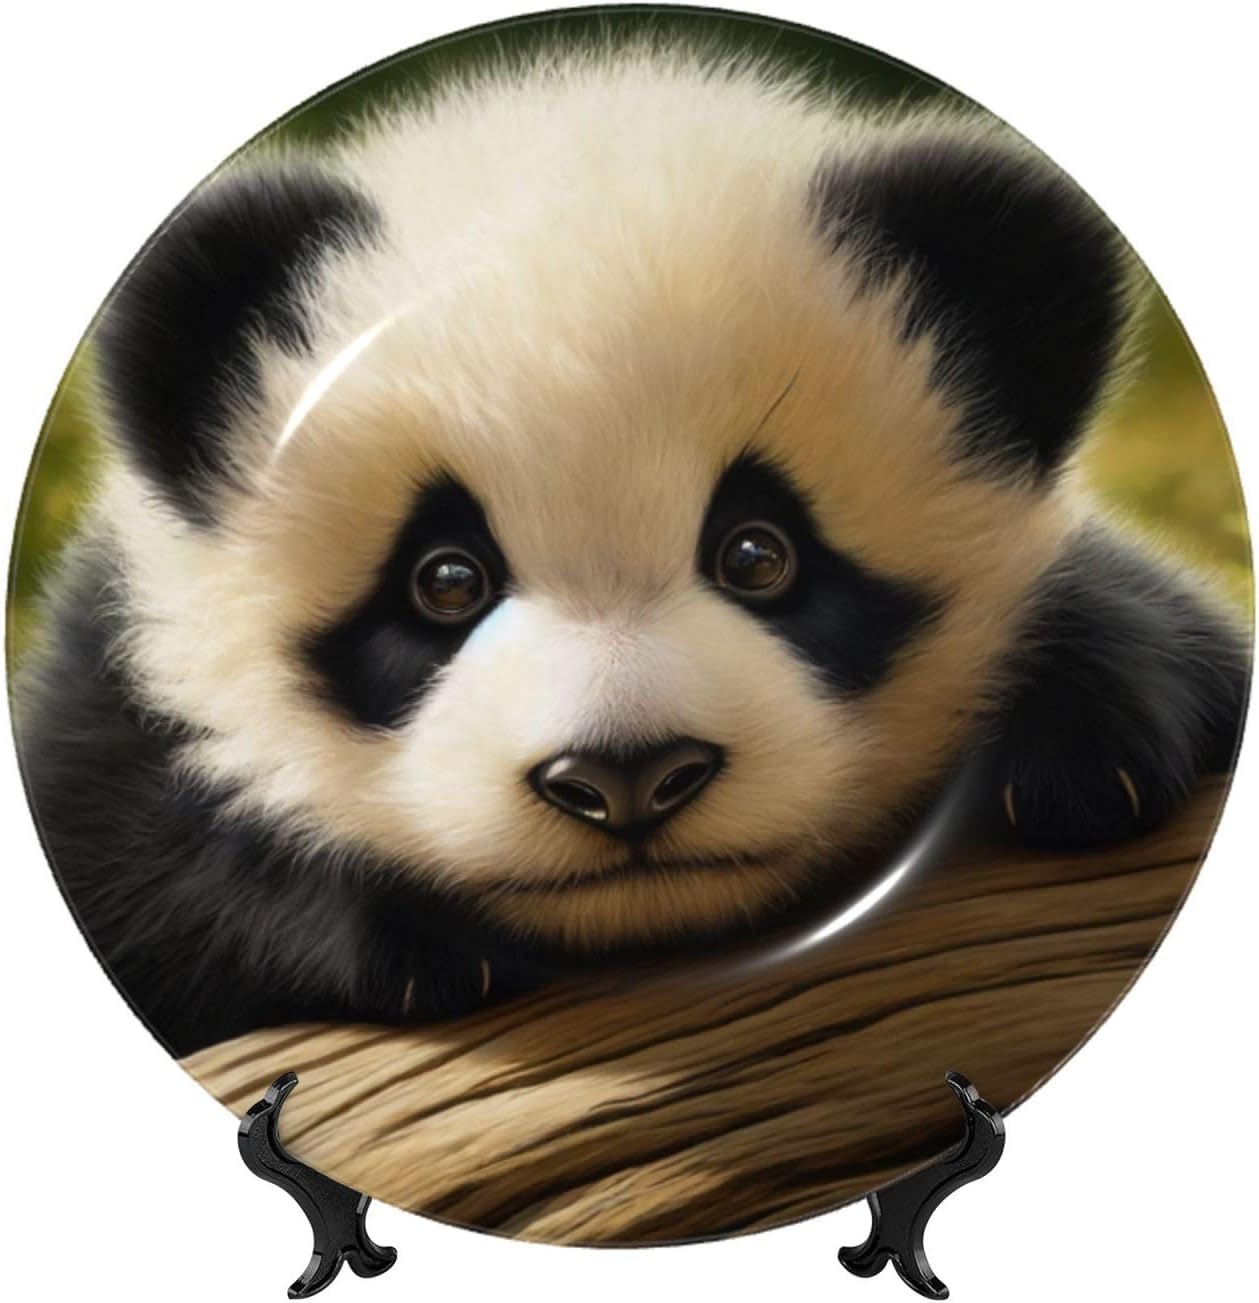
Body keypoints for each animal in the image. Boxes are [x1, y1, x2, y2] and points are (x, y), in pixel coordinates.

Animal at [14, 44, 1250, 1057]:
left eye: (757, 553)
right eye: (445, 579)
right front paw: (397, 930)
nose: (626, 778)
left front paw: (1089, 734)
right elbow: (144, 851)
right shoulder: (105, 715)